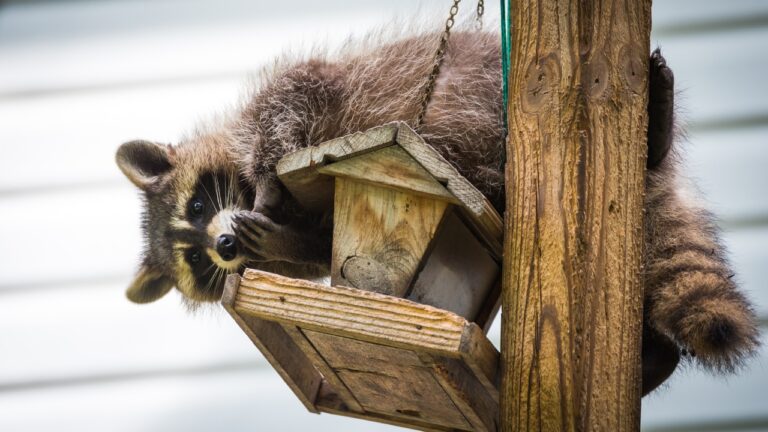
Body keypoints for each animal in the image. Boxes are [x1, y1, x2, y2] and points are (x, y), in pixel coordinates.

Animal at [116, 31, 758, 395]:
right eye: (198, 263)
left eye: (199, 204)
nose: (223, 247)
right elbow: (317, 246)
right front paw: (278, 244)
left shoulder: (294, 97)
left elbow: (290, 102)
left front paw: (268, 178)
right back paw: (655, 359)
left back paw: (656, 132)